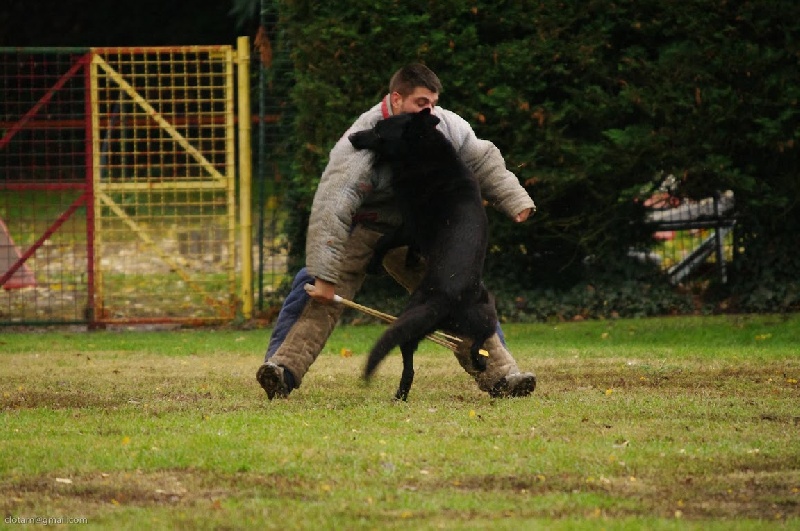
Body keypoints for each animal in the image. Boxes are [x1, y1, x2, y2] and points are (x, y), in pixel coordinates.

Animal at [348, 109, 497, 400]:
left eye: (379, 131)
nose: (351, 137)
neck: (425, 155)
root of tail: (447, 297)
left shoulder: (410, 226)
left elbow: (384, 240)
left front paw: (373, 264)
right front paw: (410, 259)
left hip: (414, 316)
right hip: (483, 314)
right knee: (475, 341)